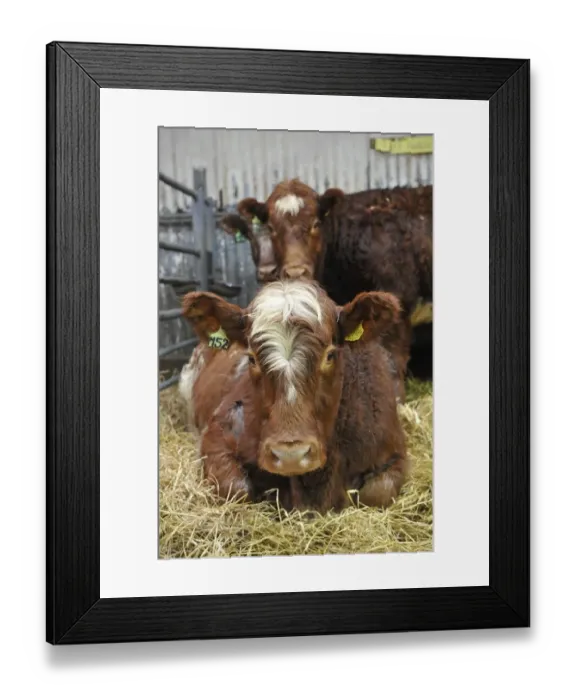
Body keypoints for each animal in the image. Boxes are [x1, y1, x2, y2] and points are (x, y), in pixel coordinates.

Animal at [179, 279, 409, 514]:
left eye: (330, 355)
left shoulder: (395, 449)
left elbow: (377, 492)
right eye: (252, 358)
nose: (291, 456)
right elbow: (237, 488)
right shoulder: (216, 436)